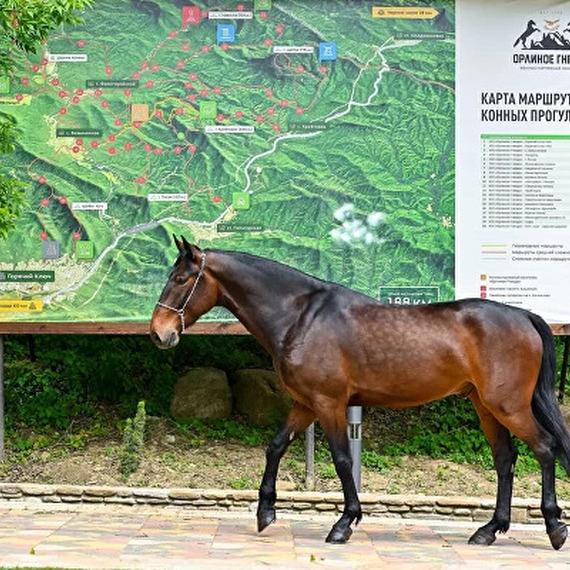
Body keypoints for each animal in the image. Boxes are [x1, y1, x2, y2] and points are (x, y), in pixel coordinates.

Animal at [150, 235, 568, 544]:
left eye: (182, 279)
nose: (159, 333)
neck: (301, 316)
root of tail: (524, 316)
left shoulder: (328, 403)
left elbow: (341, 459)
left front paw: (344, 523)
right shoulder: (305, 404)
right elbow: (276, 446)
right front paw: (265, 512)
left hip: (508, 406)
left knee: (545, 449)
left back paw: (553, 527)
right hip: (486, 407)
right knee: (505, 459)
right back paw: (488, 530)